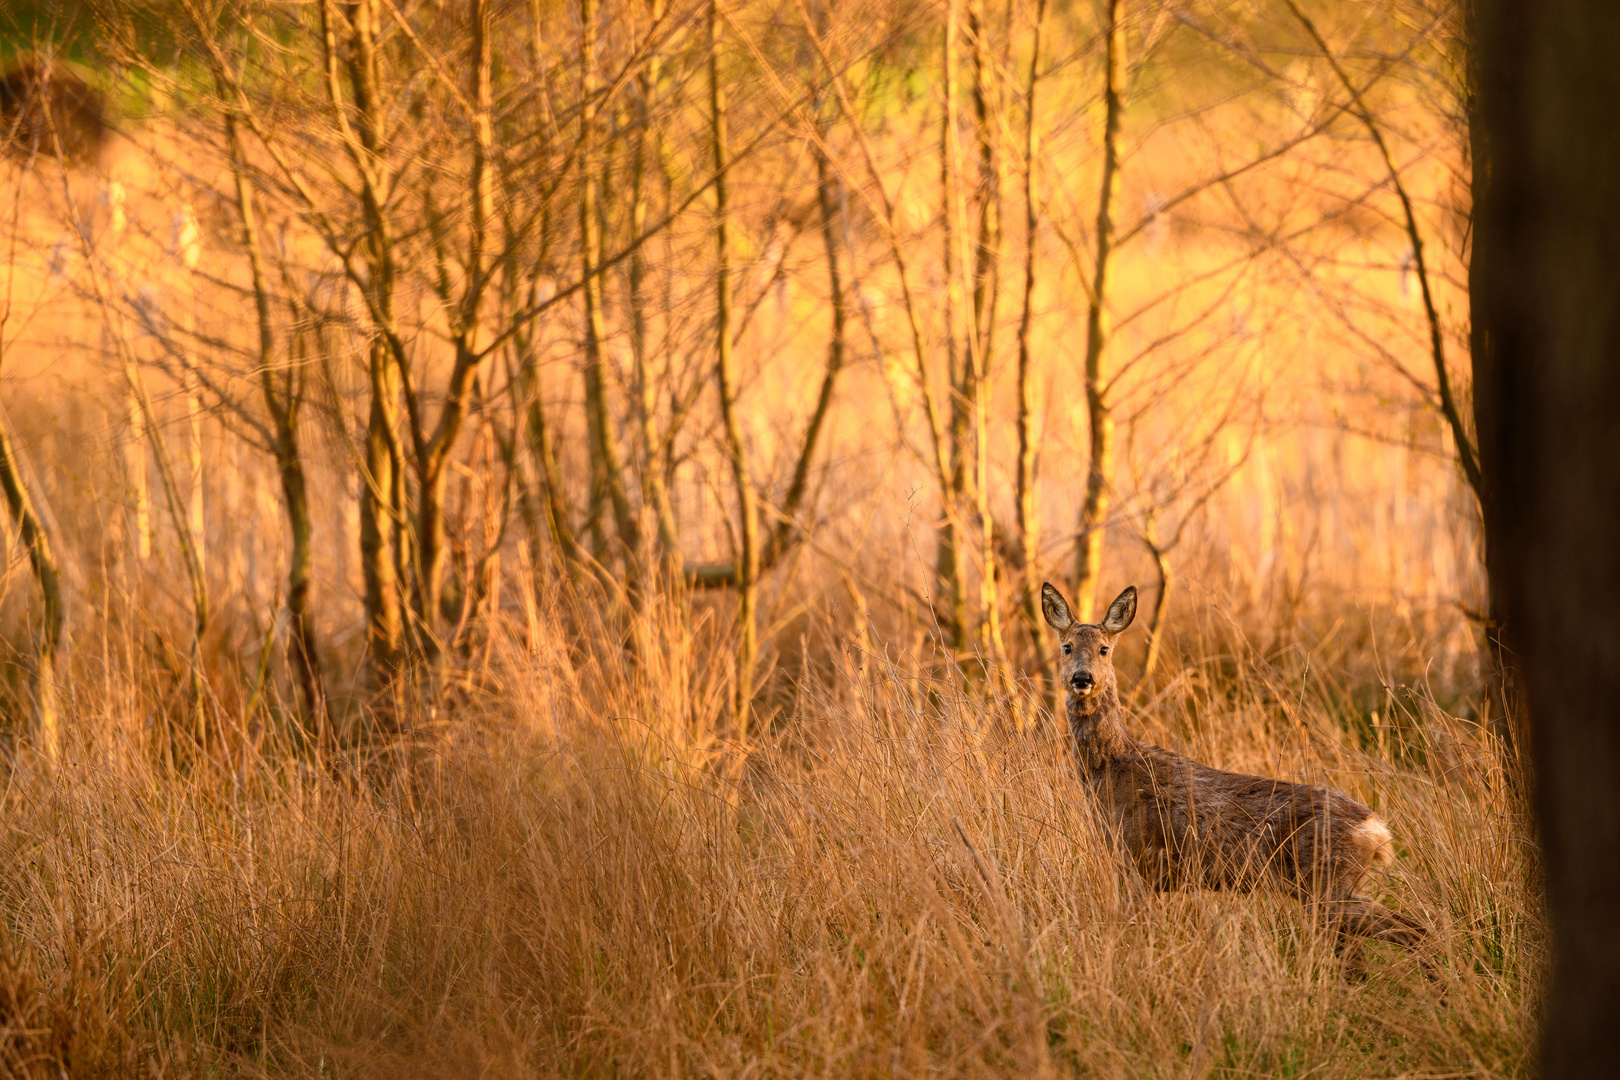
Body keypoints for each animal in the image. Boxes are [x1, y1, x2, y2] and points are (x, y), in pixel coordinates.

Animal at [1043, 582, 1425, 965]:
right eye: (1067, 647)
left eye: (1104, 649)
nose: (1082, 678)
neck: (1113, 767)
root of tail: (1377, 831)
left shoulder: (1134, 858)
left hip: (1327, 883)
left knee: (1409, 932)